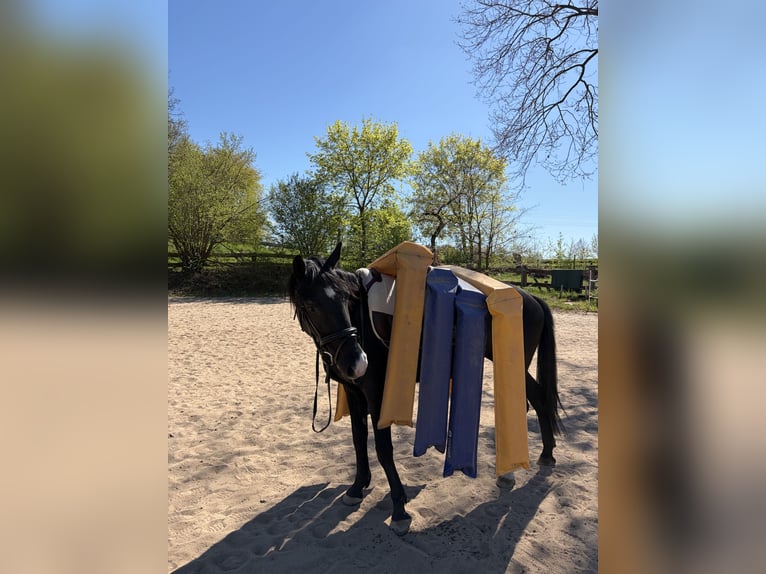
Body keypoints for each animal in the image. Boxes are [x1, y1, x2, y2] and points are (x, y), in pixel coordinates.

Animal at [288, 243, 563, 535]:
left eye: (344, 298)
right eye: (310, 305)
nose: (357, 362)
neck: (362, 322)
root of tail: (530, 298)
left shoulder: (377, 396)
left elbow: (384, 449)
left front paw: (399, 508)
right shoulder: (354, 392)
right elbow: (358, 440)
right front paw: (356, 487)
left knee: (535, 401)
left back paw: (529, 463)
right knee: (536, 400)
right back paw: (535, 460)